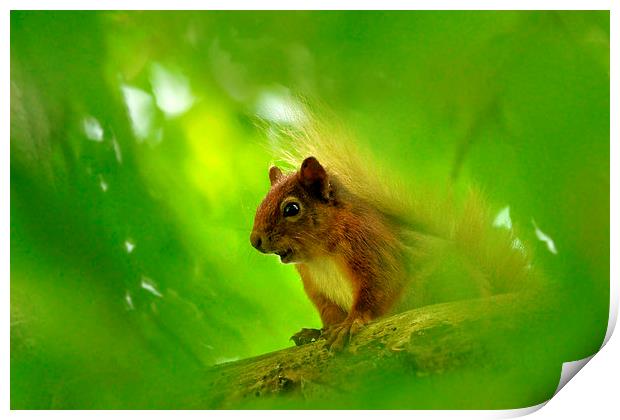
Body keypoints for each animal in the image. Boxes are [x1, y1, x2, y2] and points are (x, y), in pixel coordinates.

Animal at [249, 116, 536, 350]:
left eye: (292, 208)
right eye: (262, 201)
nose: (255, 241)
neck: (320, 255)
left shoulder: (370, 247)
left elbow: (380, 286)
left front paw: (351, 322)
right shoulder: (320, 291)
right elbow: (330, 314)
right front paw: (317, 333)